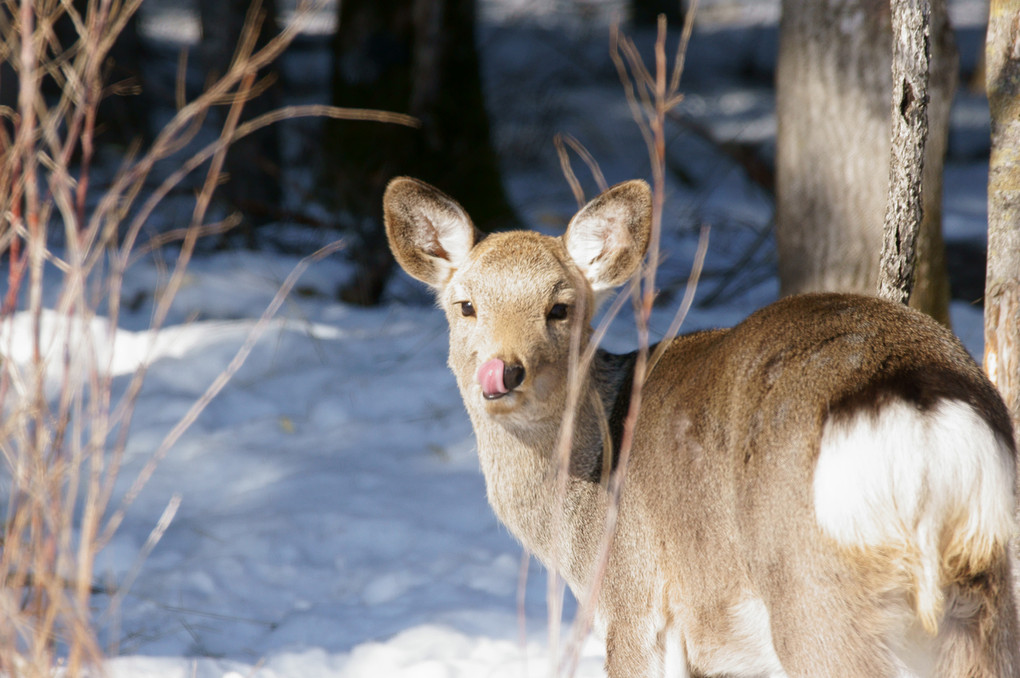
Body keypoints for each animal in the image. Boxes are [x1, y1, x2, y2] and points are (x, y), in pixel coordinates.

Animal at [381, 175, 1020, 676]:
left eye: (560, 308)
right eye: (466, 305)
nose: (503, 371)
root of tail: (918, 409)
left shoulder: (637, 601)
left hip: (814, 590)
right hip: (986, 592)